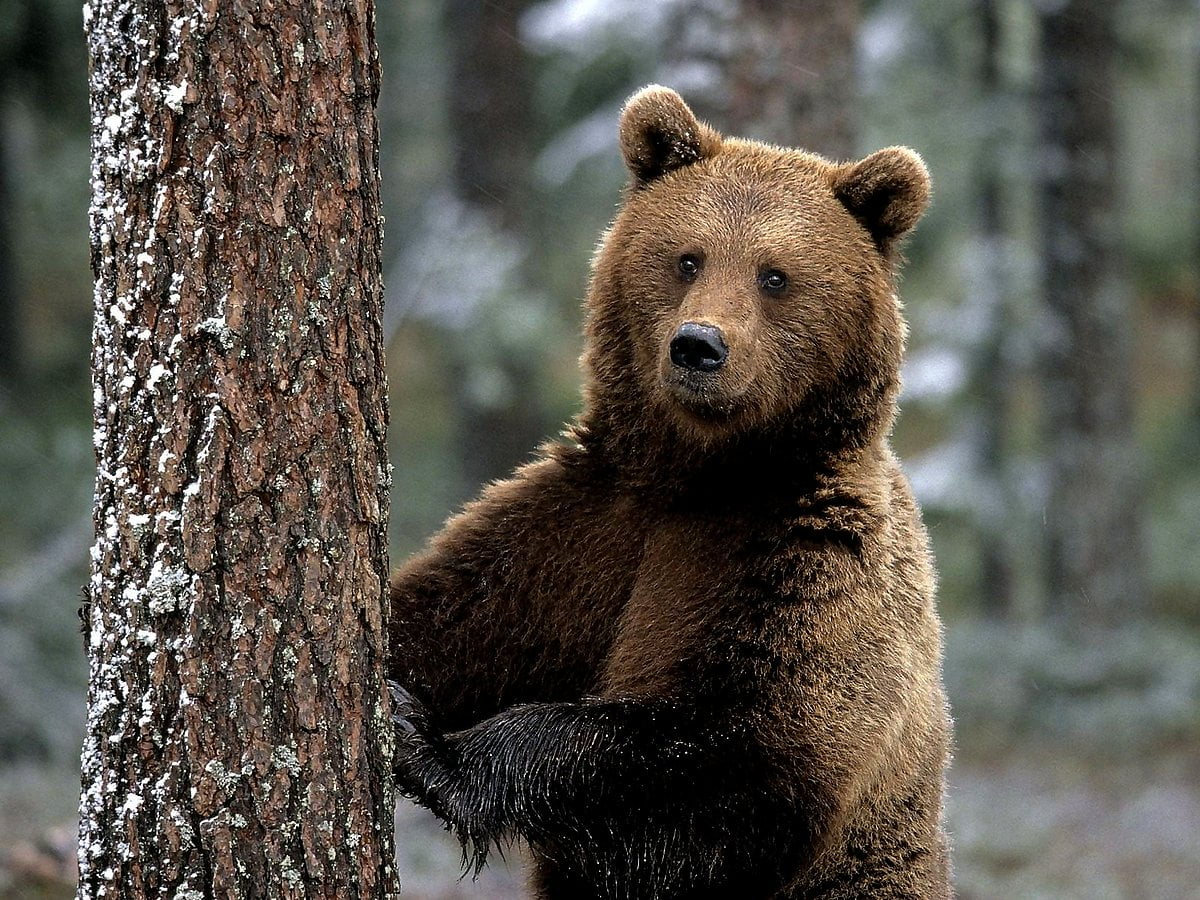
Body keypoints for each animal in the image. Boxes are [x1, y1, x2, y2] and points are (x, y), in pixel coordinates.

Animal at [388, 86, 950, 900]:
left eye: (774, 275)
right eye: (688, 257)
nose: (698, 346)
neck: (705, 472)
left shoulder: (803, 562)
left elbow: (733, 760)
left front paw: (433, 749)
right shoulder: (582, 528)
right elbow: (448, 615)